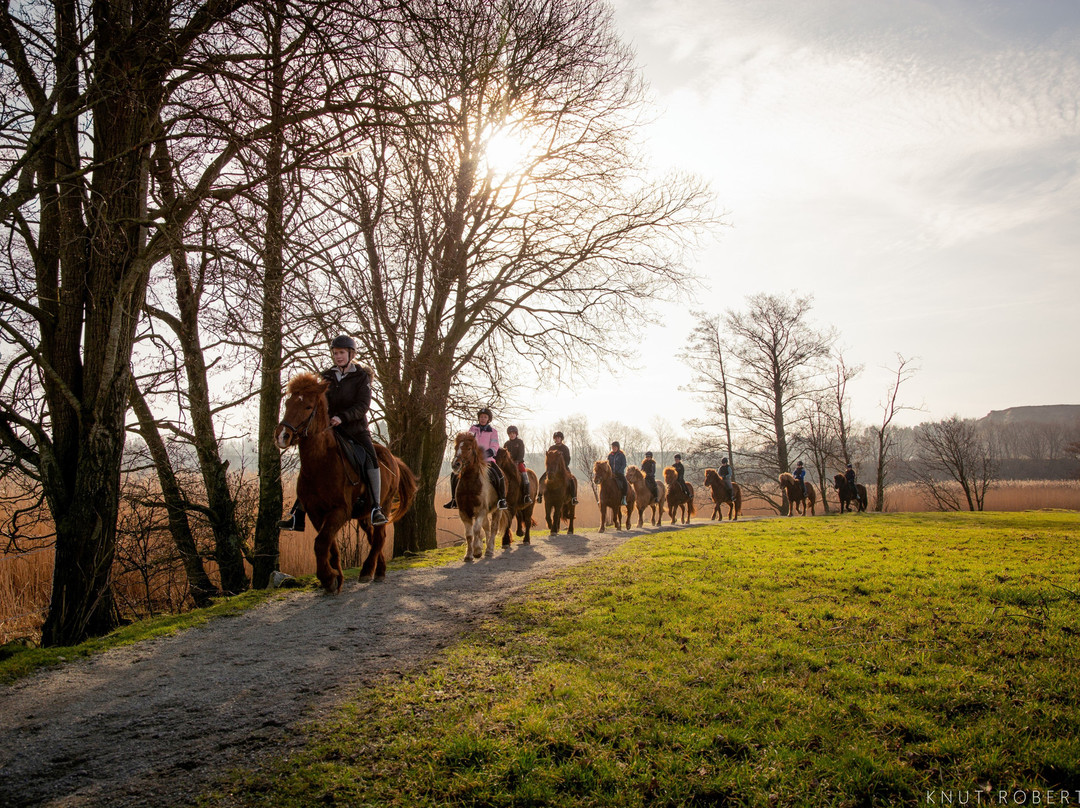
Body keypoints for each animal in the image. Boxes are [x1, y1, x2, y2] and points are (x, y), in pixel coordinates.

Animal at [274, 373, 416, 591]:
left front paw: (328, 578)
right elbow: (329, 544)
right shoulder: (316, 513)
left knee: (379, 537)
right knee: (373, 537)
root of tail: (393, 458)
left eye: (307, 406)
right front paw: (335, 577)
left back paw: (368, 571)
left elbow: (321, 542)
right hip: (364, 514)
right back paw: (379, 570)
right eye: (288, 403)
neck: (321, 463)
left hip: (383, 504)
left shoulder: (340, 510)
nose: (282, 436)